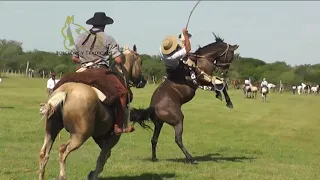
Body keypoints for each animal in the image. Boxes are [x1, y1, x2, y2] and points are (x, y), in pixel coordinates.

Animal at [38, 47, 146, 180]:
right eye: (140, 62)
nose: (143, 81)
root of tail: (65, 92)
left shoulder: (100, 136)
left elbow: (104, 155)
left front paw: (92, 173)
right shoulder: (113, 137)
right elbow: (103, 157)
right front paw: (93, 174)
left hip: (51, 129)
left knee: (44, 153)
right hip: (80, 135)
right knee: (63, 150)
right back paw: (62, 175)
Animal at [131, 33, 240, 165]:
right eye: (231, 56)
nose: (223, 70)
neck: (202, 59)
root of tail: (153, 106)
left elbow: (219, 84)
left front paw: (219, 95)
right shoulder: (201, 79)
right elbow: (220, 84)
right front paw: (228, 102)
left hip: (159, 123)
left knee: (154, 139)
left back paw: (154, 158)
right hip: (178, 120)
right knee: (178, 140)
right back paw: (190, 158)